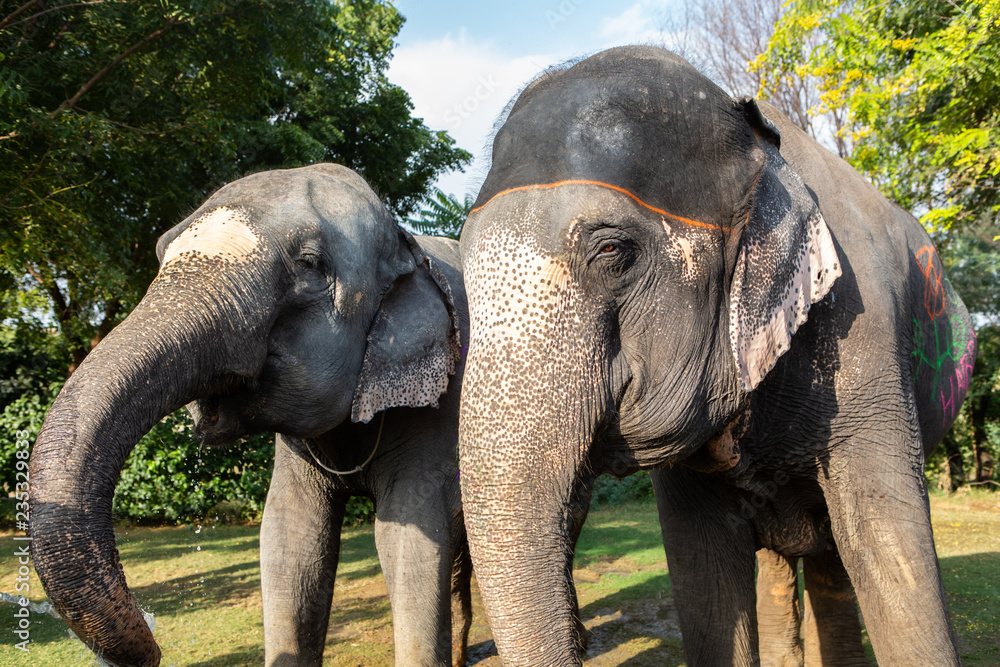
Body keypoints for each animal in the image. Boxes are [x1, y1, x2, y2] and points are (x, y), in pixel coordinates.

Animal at [29, 163, 473, 667]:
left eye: (310, 265)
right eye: (160, 251)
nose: (155, 644)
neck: (406, 242)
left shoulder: (438, 409)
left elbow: (406, 538)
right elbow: (291, 538)